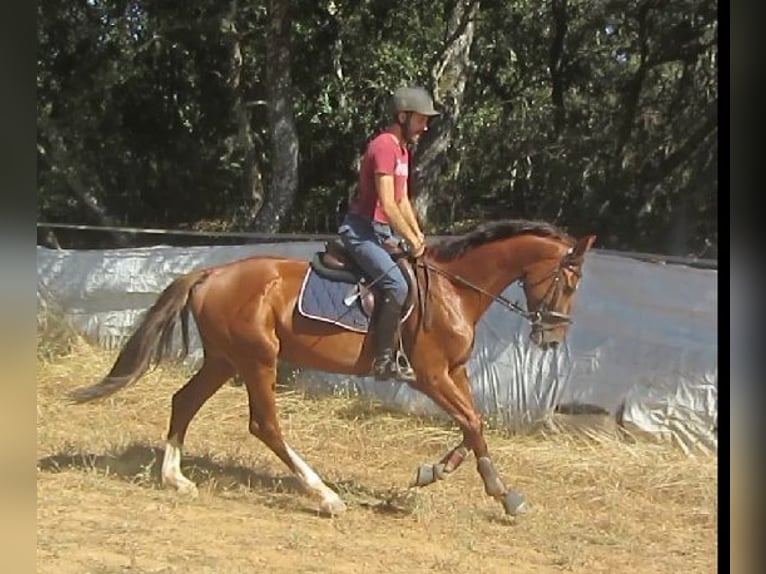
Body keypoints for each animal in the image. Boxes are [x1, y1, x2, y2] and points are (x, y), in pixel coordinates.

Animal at [70, 219, 600, 516]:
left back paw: (175, 478)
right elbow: (472, 423)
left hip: (224, 359)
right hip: (257, 359)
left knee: (184, 401)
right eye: (570, 281)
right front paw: (501, 493)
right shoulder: (431, 376)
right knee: (265, 424)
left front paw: (433, 472)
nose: (552, 337)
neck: (454, 288)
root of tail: (212, 271)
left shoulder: (457, 373)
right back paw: (323, 495)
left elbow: (475, 425)